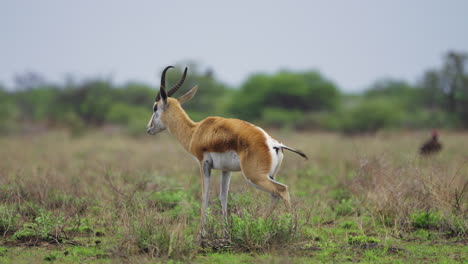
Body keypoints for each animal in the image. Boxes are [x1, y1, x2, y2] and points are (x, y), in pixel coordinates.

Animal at [146, 65, 308, 233]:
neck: (196, 131)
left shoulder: (203, 164)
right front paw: (226, 230)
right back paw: (260, 224)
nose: (148, 128)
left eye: (155, 107)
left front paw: (201, 233)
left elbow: (205, 195)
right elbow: (223, 196)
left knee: (282, 190)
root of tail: (274, 144)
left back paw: (290, 229)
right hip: (269, 175)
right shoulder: (226, 170)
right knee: (275, 195)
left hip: (255, 176)